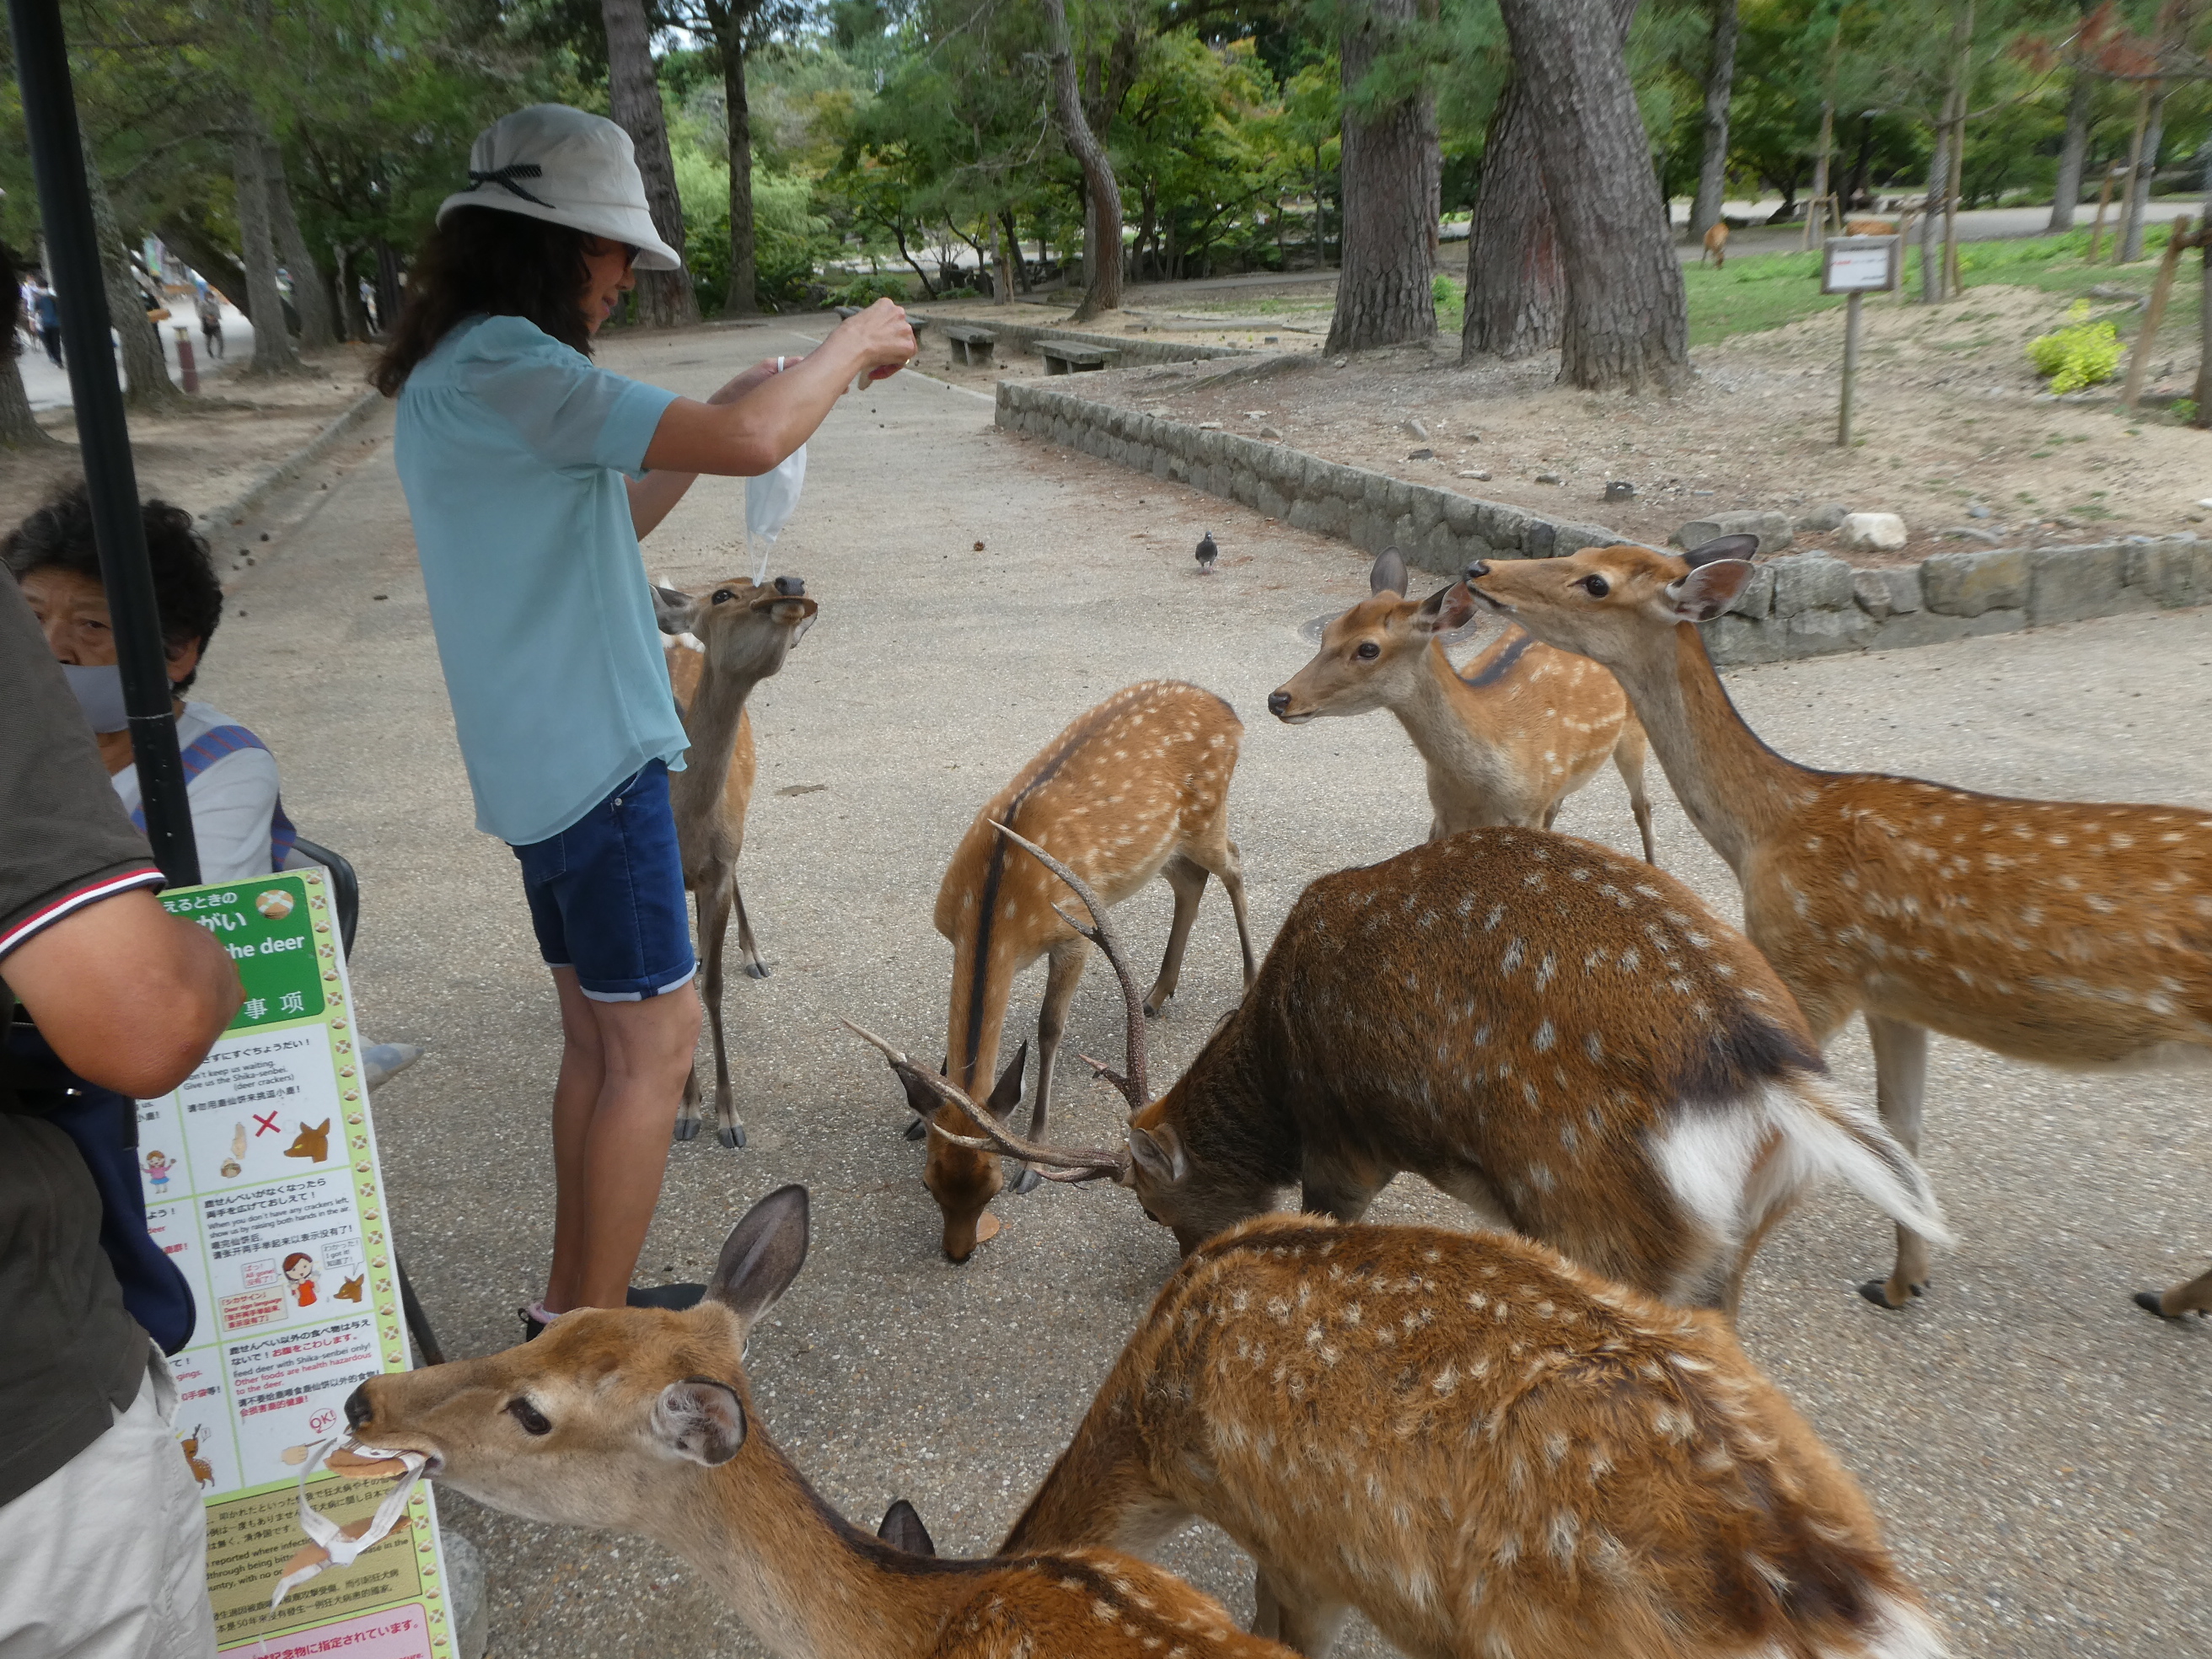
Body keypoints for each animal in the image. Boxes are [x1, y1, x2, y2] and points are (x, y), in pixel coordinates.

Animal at [651, 574, 819, 1151]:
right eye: (723, 594)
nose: (792, 583)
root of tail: (681, 643)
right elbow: (677, 989)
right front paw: (686, 1109)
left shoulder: (719, 868)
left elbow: (713, 990)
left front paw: (726, 1116)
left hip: (740, 818)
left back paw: (752, 953)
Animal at [851, 823, 1948, 1316]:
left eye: (1155, 1207)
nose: (1180, 1268)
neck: (1279, 1069)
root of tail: (1770, 1072)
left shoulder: (1346, 1147)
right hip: (1742, 1237)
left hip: (1604, 1223)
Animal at [905, 680, 1257, 1263]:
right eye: (931, 1184)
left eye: (992, 1186)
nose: (958, 1254)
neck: (997, 909)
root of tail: (1229, 710)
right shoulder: (950, 932)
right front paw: (917, 1114)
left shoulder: (1073, 936)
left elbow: (1049, 1029)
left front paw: (1035, 1157)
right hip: (1164, 847)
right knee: (1191, 881)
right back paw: (1155, 995)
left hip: (1209, 815)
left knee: (1233, 864)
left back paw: (1251, 980)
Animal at [1269, 548, 1657, 861]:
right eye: (1328, 631)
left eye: (1368, 648)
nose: (1279, 698)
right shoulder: (1444, 814)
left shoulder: (1526, 811)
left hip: (1635, 730)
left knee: (1643, 804)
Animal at [1463, 538, 2212, 1317]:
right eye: (1585, 552)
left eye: (1596, 583)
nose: (1480, 570)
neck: (1766, 832)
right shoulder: (1893, 998)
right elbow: (1901, 1130)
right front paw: (1904, 1281)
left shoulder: (1809, 962)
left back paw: (2173, 1299)